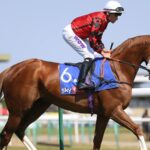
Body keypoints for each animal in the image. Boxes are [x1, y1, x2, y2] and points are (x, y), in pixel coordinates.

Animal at [0, 35, 150, 150]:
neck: (117, 70)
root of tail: (11, 70)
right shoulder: (114, 110)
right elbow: (138, 129)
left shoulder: (104, 114)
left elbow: (97, 140)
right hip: (17, 111)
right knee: (6, 134)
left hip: (38, 106)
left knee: (19, 130)